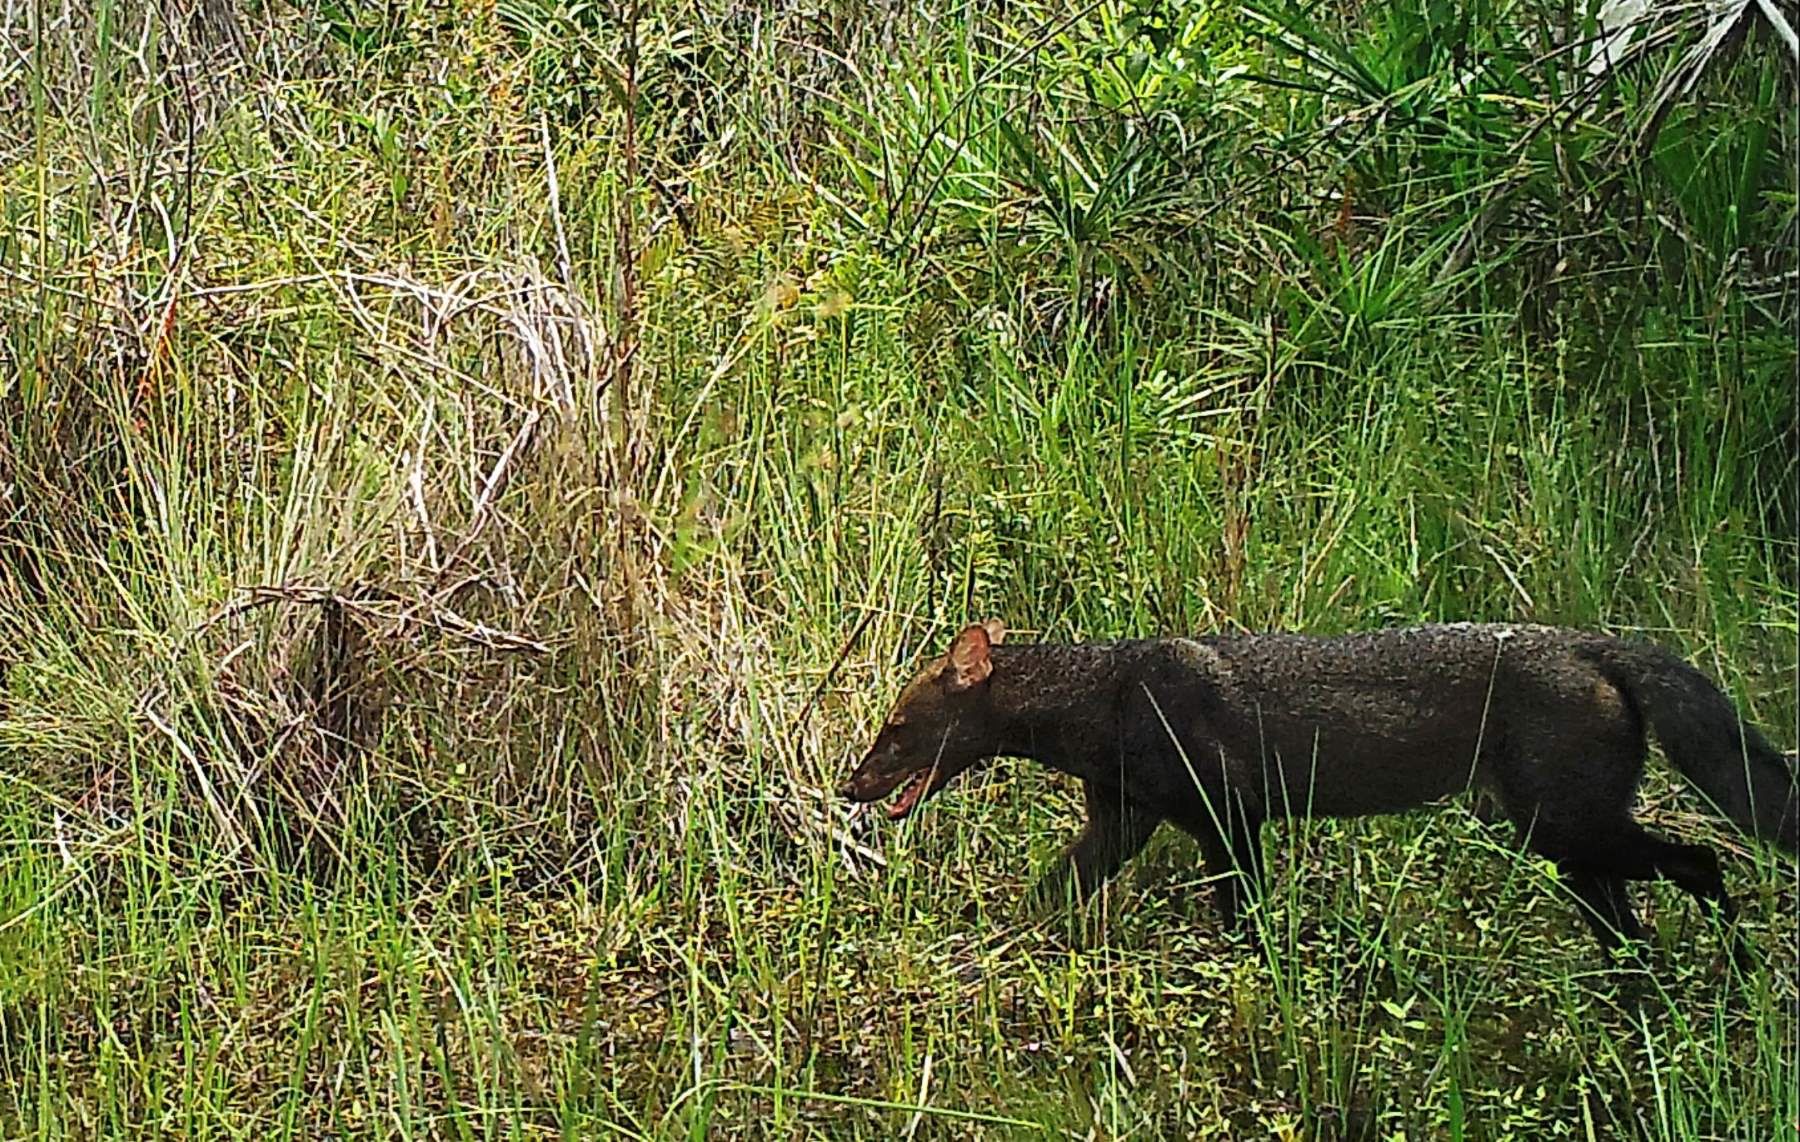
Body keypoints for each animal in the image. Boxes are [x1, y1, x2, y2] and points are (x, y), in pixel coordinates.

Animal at [835, 619, 1792, 943]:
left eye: (896, 728)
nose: (848, 786)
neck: (1107, 701)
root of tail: (1600, 643)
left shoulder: (1229, 821)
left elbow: (1241, 926)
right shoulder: (1123, 822)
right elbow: (1046, 895)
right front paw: (984, 951)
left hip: (1566, 827)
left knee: (1705, 861)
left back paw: (1735, 972)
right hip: (1564, 841)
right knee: (1636, 928)